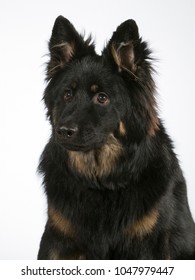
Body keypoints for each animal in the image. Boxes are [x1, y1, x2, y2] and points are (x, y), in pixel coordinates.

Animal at [37, 16, 195, 260]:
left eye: (102, 97)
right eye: (67, 94)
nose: (63, 131)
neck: (102, 181)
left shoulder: (147, 246)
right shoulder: (56, 240)